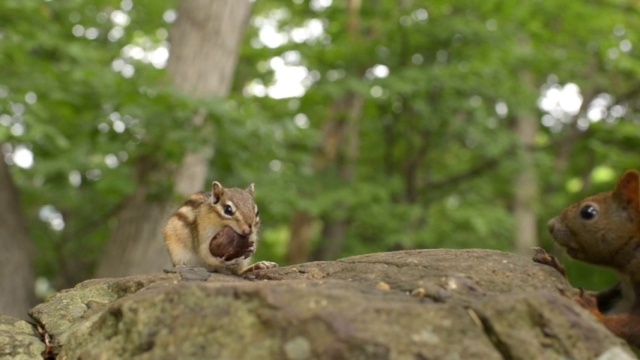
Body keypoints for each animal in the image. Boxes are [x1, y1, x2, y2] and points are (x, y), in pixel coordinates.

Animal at [544, 170, 640, 348]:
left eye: (588, 212)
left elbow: (630, 326)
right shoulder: (621, 293)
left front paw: (590, 310)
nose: (550, 225)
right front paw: (557, 267)